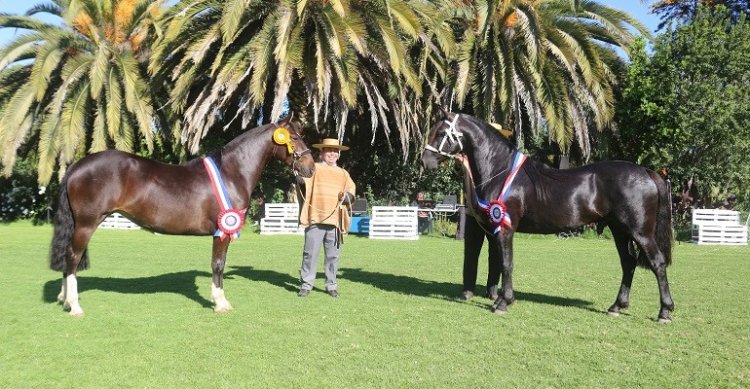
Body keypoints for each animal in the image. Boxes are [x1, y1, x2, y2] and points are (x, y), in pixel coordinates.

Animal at [48, 116, 314, 316]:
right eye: (295, 137)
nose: (310, 167)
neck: (231, 172)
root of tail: (76, 167)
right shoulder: (221, 231)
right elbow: (218, 264)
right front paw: (220, 302)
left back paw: (64, 298)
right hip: (86, 224)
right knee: (73, 257)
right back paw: (75, 306)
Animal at [424, 111, 676, 322]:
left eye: (441, 133)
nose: (425, 161)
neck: (500, 171)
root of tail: (646, 171)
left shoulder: (505, 229)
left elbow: (506, 263)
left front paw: (503, 303)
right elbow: (502, 263)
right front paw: (500, 299)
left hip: (640, 232)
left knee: (657, 263)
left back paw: (664, 311)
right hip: (620, 231)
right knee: (628, 263)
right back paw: (616, 306)